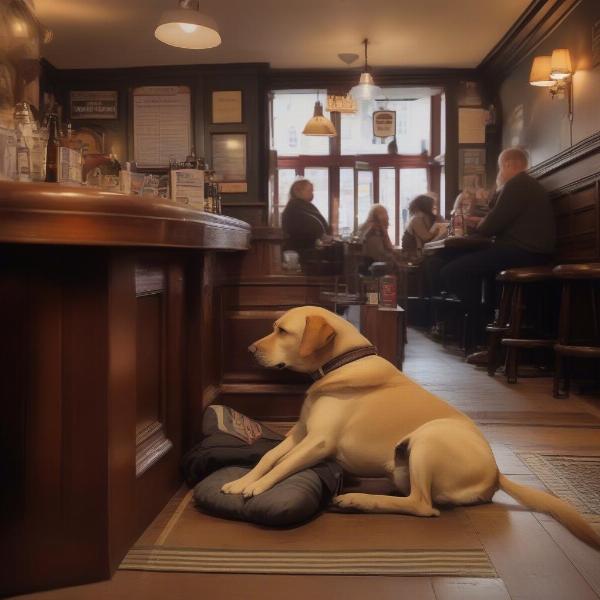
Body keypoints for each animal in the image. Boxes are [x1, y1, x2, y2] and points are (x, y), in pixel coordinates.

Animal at [223, 308, 600, 548]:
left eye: (282, 331)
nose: (248, 348)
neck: (341, 363)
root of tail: (495, 474)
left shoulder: (317, 442)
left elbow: (283, 465)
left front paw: (256, 489)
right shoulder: (299, 434)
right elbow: (268, 457)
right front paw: (241, 481)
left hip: (428, 438)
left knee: (422, 505)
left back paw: (360, 500)